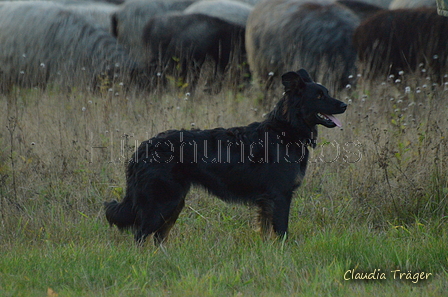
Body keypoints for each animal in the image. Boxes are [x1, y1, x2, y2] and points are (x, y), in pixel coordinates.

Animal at [104, 69, 346, 245]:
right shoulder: (280, 195)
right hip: (163, 201)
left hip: (174, 202)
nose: (345, 105)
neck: (286, 130)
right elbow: (281, 231)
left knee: (158, 238)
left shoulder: (268, 200)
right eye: (319, 96)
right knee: (141, 236)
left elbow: (267, 231)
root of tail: (143, 148)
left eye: (326, 92)